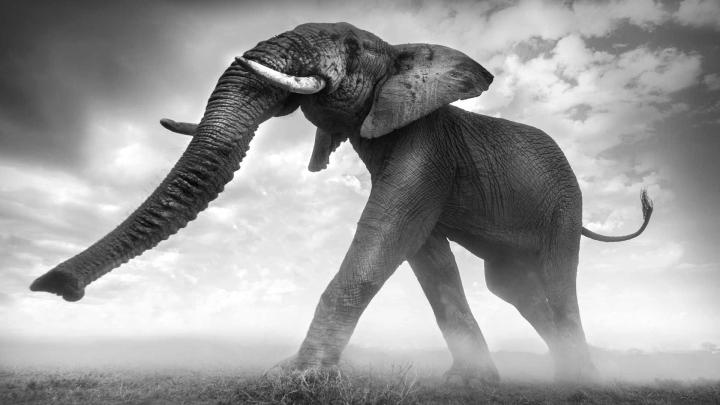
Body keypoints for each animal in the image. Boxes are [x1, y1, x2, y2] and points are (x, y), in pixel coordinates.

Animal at [30, 22, 652, 383]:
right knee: (515, 288)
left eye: (351, 47)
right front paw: (471, 384)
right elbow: (425, 255)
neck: (402, 51)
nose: (55, 287)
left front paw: (294, 379)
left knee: (557, 280)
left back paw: (582, 384)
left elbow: (388, 235)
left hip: (563, 206)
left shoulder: (426, 146)